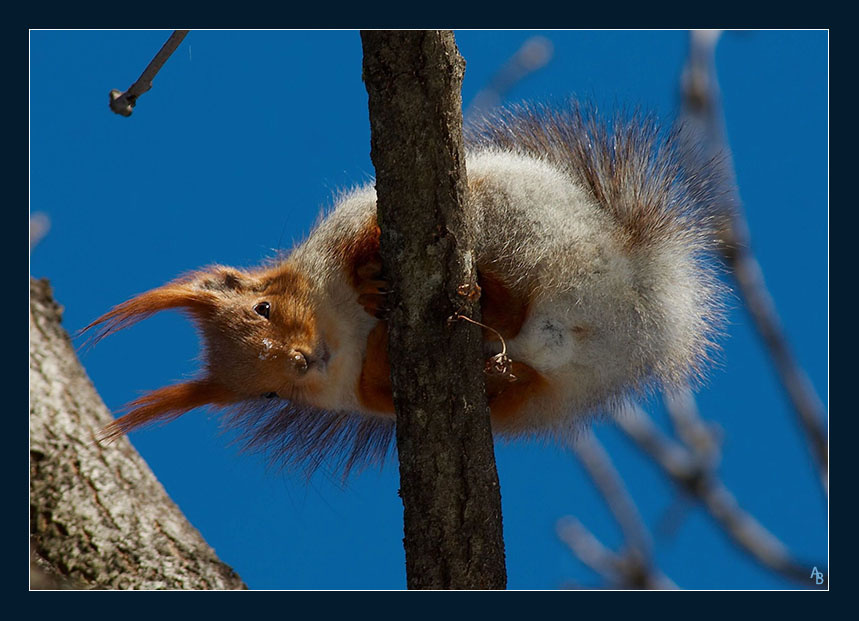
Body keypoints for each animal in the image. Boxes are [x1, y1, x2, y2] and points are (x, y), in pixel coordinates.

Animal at [84, 103, 726, 476]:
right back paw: (498, 366)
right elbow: (378, 393)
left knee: (517, 286)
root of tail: (636, 283)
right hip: (548, 382)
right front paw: (376, 349)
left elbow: (359, 241)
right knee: (522, 364)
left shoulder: (345, 229)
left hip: (519, 221)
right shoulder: (357, 393)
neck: (341, 324)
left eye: (263, 307)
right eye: (264, 393)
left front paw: (368, 275)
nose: (302, 360)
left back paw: (484, 295)